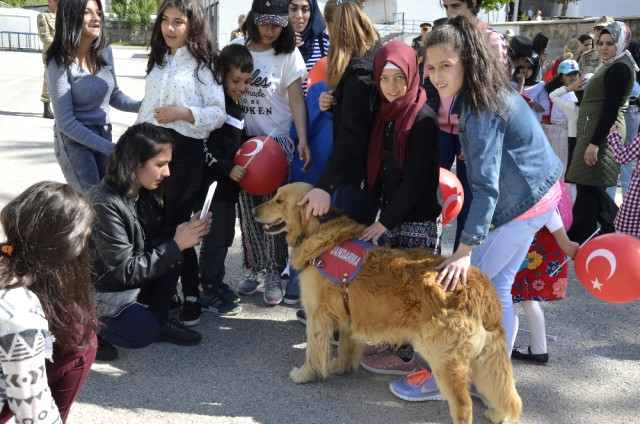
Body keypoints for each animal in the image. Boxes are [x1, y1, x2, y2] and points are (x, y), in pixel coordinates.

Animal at [252, 182, 524, 424]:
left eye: (278, 200)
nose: (254, 211)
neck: (321, 235)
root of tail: (479, 286)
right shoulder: (348, 314)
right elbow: (345, 347)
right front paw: (339, 367)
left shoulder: (317, 317)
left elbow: (312, 352)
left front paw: (304, 375)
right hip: (484, 357)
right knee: (502, 390)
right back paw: (498, 414)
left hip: (444, 358)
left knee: (464, 407)